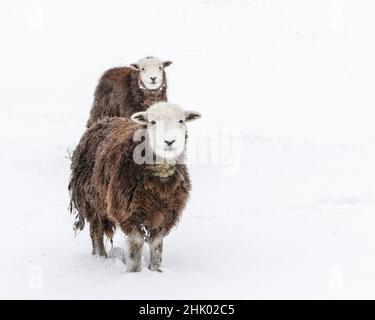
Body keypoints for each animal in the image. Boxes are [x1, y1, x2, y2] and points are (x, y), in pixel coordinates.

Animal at [68, 101, 201, 272]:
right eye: (152, 122)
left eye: (181, 121)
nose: (169, 142)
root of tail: (104, 120)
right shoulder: (127, 211)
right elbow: (136, 244)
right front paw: (134, 272)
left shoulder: (165, 212)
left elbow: (156, 245)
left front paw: (155, 270)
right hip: (91, 200)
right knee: (96, 230)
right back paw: (100, 257)